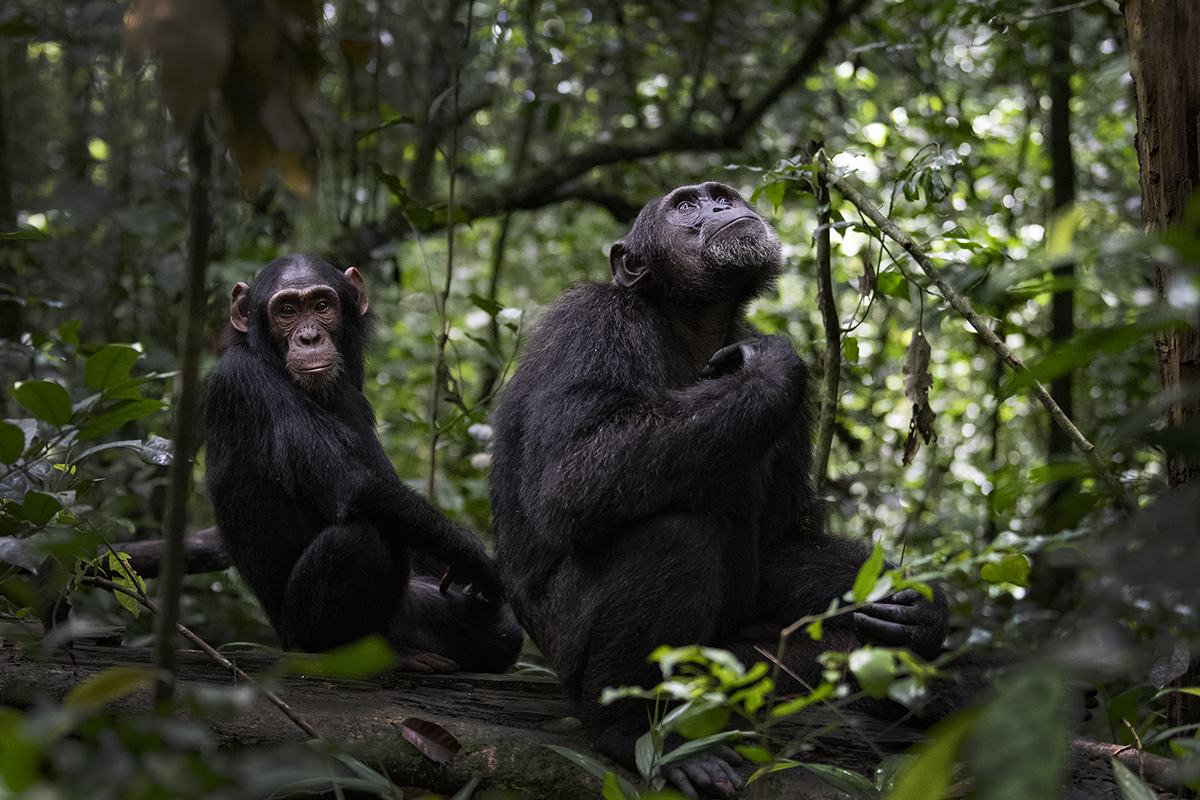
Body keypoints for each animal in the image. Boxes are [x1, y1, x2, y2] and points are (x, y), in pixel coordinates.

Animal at [205, 253, 520, 671]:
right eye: (286, 311)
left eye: (322, 306)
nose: (309, 337)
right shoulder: (246, 380)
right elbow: (353, 484)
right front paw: (474, 557)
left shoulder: (353, 394)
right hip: (301, 635)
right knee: (359, 537)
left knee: (502, 634)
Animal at [489, 184, 955, 796]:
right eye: (685, 207)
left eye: (718, 196)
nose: (718, 207)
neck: (689, 318)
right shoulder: (589, 325)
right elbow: (568, 477)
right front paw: (770, 371)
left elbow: (781, 539)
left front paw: (918, 606)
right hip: (566, 649)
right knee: (669, 535)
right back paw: (640, 736)